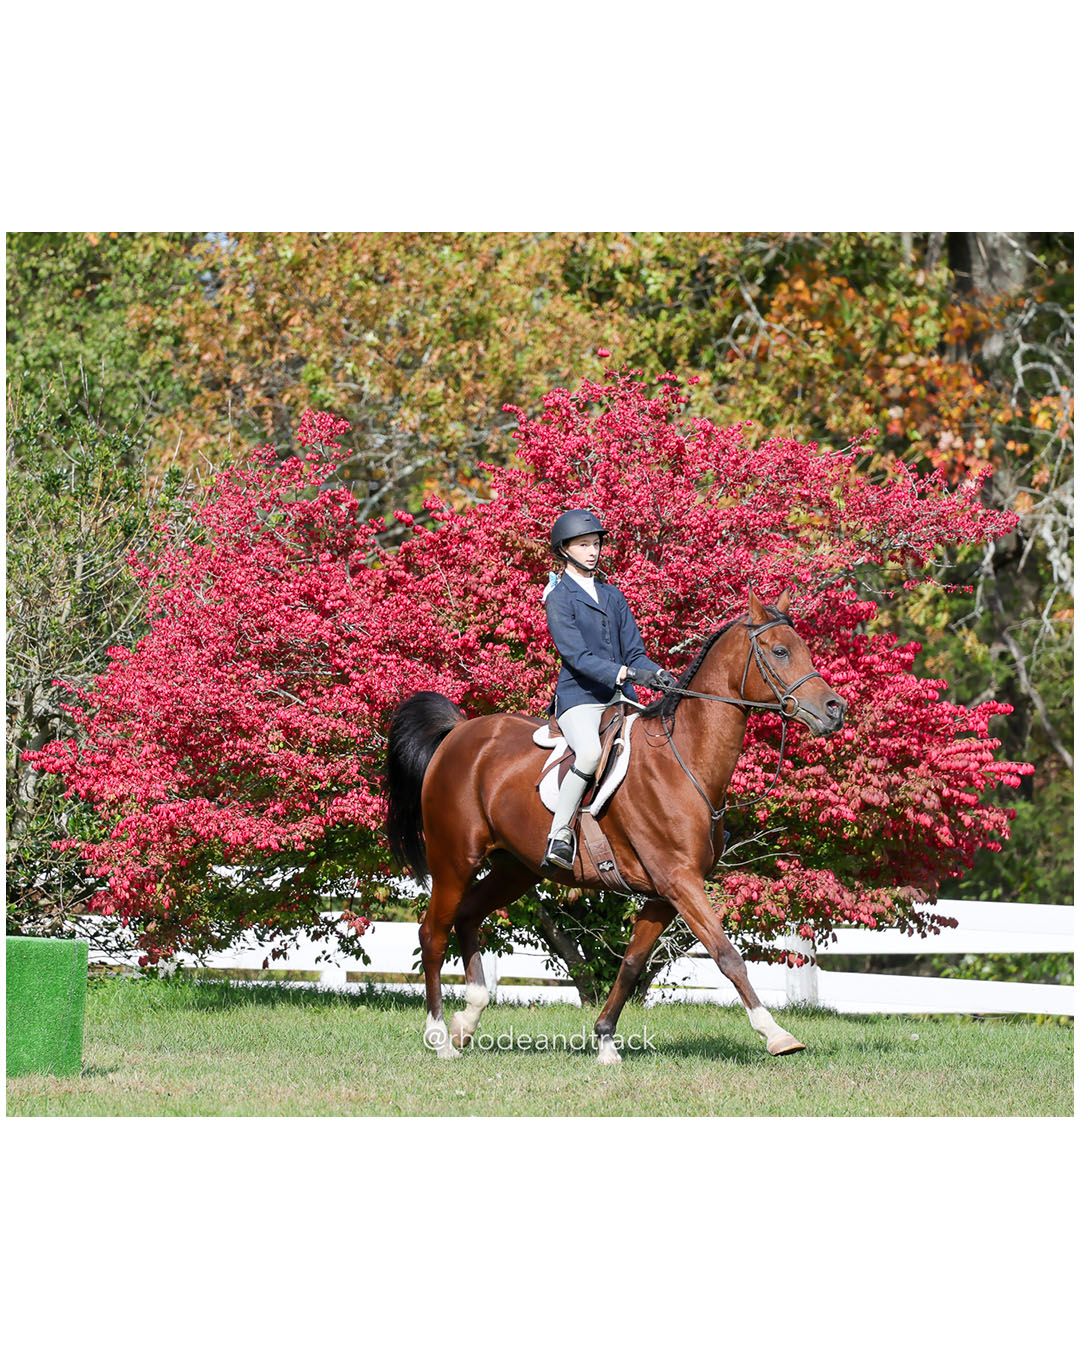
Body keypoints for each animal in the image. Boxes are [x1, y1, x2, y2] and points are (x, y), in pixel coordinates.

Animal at [383, 590, 847, 1063]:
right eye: (780, 651)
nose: (835, 709)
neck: (683, 759)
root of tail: (458, 733)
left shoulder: (664, 893)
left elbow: (632, 964)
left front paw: (605, 1039)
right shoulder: (680, 881)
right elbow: (726, 954)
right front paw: (776, 1034)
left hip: (515, 869)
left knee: (468, 917)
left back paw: (467, 1020)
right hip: (454, 861)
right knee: (432, 934)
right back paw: (440, 1035)